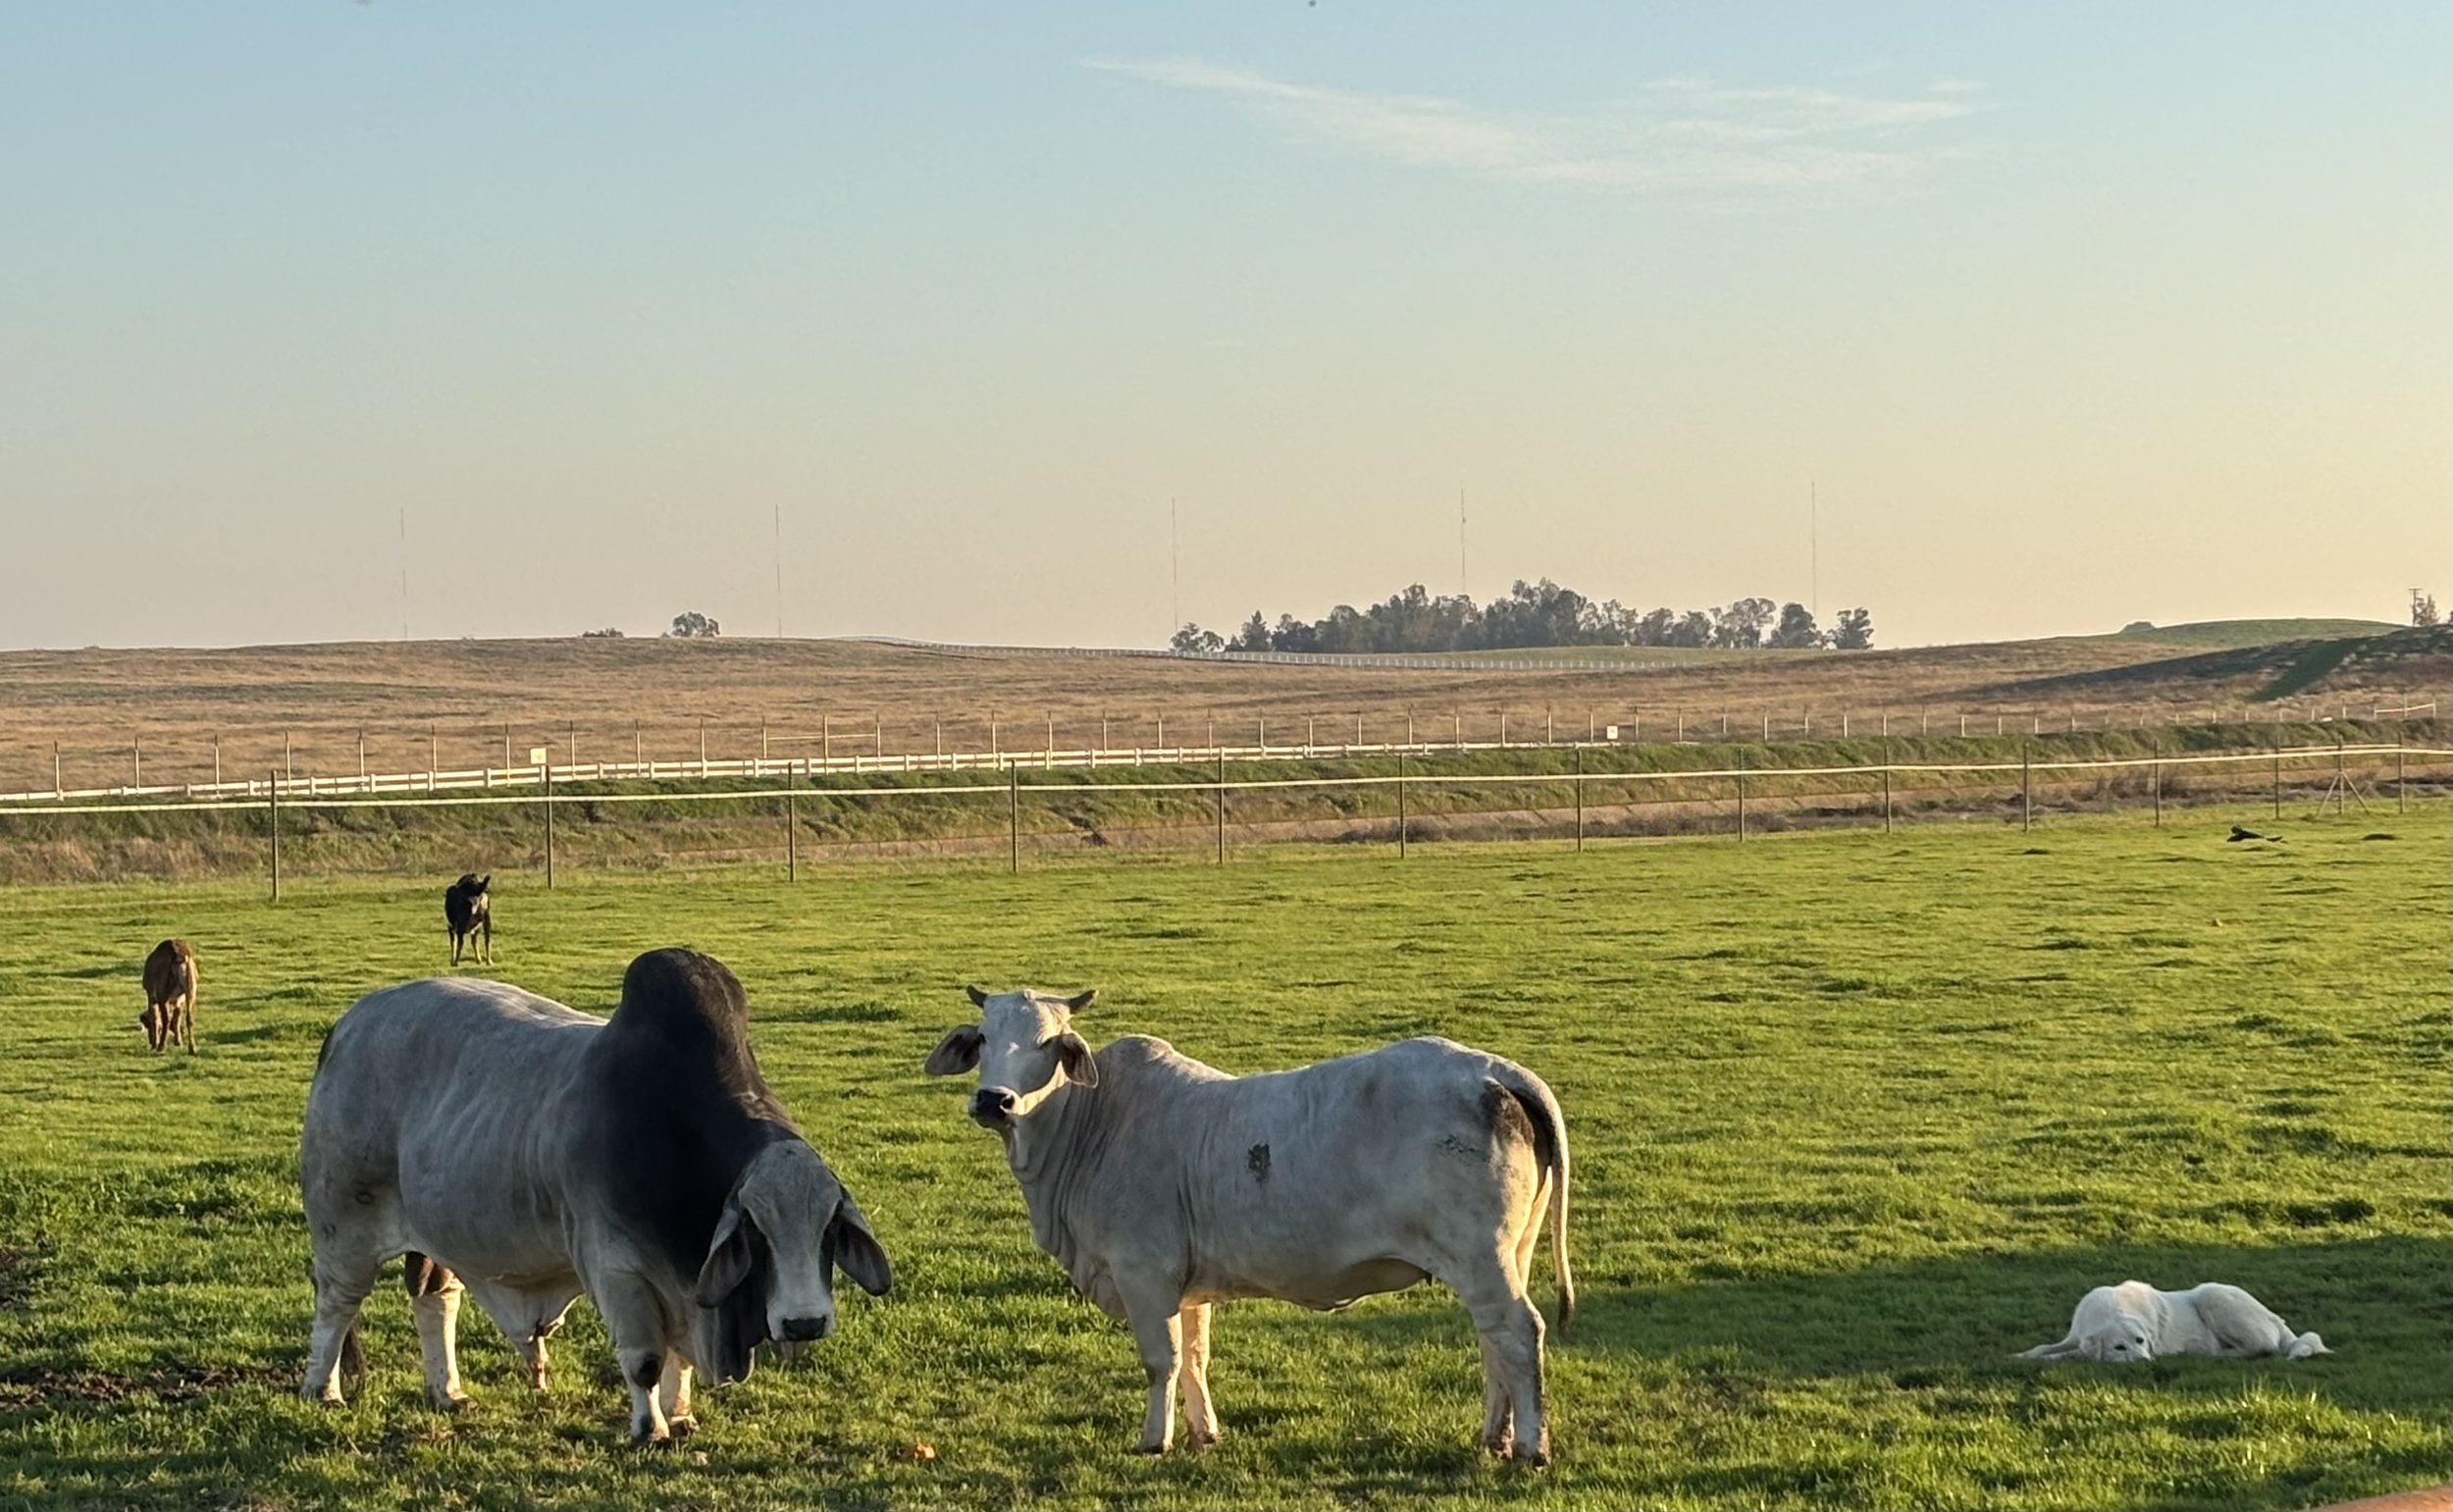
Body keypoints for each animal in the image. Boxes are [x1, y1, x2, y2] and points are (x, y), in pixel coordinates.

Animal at [299, 948, 892, 1443]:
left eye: (829, 1230)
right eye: (755, 1231)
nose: (803, 1323)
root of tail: (348, 1025)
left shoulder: (684, 1284)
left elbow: (679, 1359)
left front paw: (681, 1416)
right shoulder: (616, 1269)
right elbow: (645, 1360)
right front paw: (650, 1430)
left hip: (439, 1231)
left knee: (434, 1297)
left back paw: (448, 1393)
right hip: (344, 1225)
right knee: (337, 1302)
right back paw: (323, 1390)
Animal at [923, 987, 1573, 1463]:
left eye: (1047, 1043)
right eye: (984, 1038)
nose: (994, 1100)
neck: (1093, 1123)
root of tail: (1494, 1072)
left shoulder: (1142, 1274)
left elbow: (1162, 1360)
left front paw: (1154, 1440)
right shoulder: (1186, 1288)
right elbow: (1195, 1355)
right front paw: (1203, 1432)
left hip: (1480, 1257)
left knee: (1519, 1332)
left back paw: (1530, 1448)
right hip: (1509, 1253)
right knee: (1494, 1341)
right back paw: (1494, 1437)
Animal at [2019, 1280, 2330, 1363]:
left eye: (2140, 1341)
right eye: (2120, 1346)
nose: (2145, 1361)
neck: (2113, 1310)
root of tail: (2273, 1315)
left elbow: (2071, 1355)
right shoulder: (2074, 1335)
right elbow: (2044, 1347)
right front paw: (2022, 1355)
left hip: (2211, 1294)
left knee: (2264, 1347)